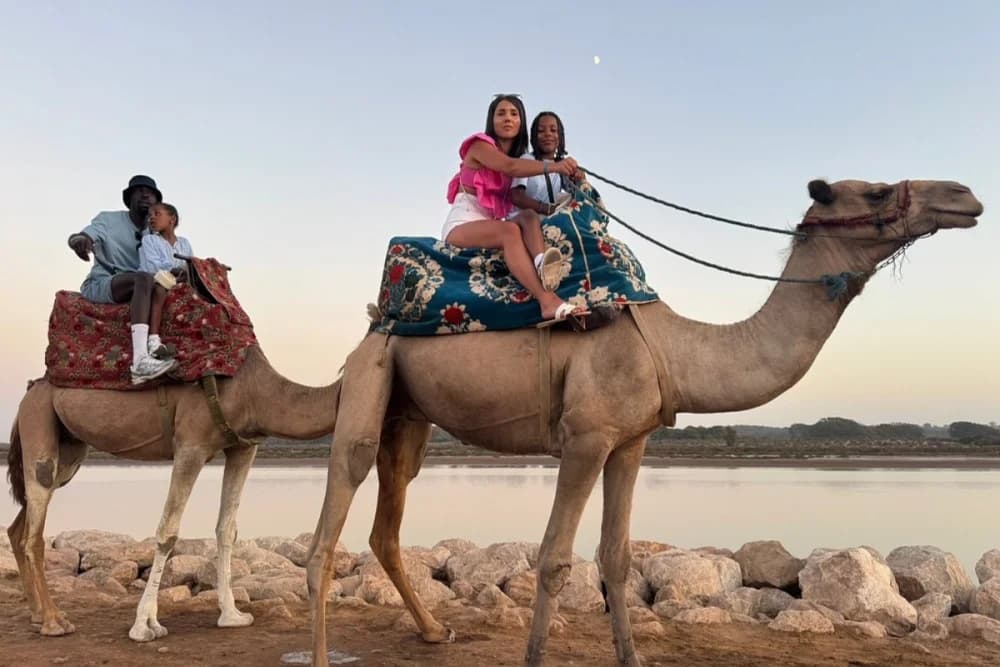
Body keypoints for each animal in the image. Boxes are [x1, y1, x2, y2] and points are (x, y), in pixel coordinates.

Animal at [6, 345, 340, 641]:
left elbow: (226, 529)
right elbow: (168, 531)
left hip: (70, 448)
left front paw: (232, 615)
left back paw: (37, 615)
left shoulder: (243, 447)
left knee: (19, 527)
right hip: (39, 425)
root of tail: (29, 391)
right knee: (34, 533)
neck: (254, 390)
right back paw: (54, 621)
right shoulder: (191, 445)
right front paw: (144, 625)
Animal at [303, 178, 983, 666]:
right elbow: (554, 558)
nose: (964, 196)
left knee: (388, 516)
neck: (674, 346)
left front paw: (631, 655)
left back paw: (434, 631)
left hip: (408, 414)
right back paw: (324, 652)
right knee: (336, 507)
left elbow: (617, 556)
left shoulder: (630, 442)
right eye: (875, 191)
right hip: (372, 374)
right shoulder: (585, 438)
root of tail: (374, 320)